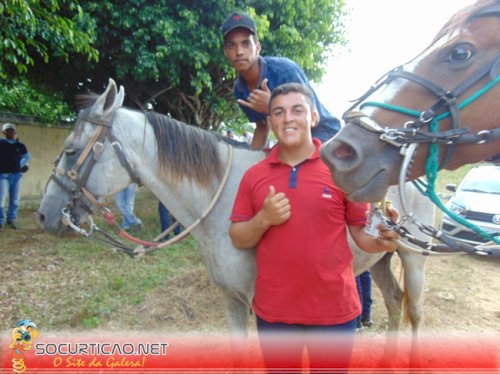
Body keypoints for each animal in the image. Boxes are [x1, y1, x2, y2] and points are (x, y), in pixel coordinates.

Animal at [36, 79, 434, 338]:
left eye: (71, 150)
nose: (44, 214)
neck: (221, 201)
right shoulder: (232, 301)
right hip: (379, 256)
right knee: (394, 301)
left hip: (412, 256)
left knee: (414, 312)